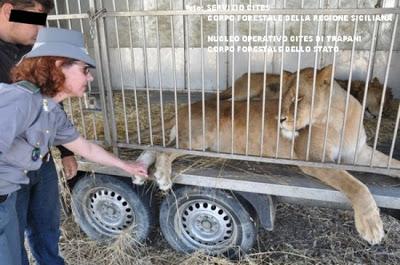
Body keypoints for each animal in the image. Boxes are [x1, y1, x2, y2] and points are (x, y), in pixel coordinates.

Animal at [134, 65, 400, 244]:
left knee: (155, 146)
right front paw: (372, 227)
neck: (340, 117)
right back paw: (162, 175)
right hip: (198, 140)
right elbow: (356, 185)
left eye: (298, 98)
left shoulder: (360, 153)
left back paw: (139, 172)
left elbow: (391, 163)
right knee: (164, 150)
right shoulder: (314, 160)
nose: (280, 119)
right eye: (282, 98)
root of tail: (184, 107)